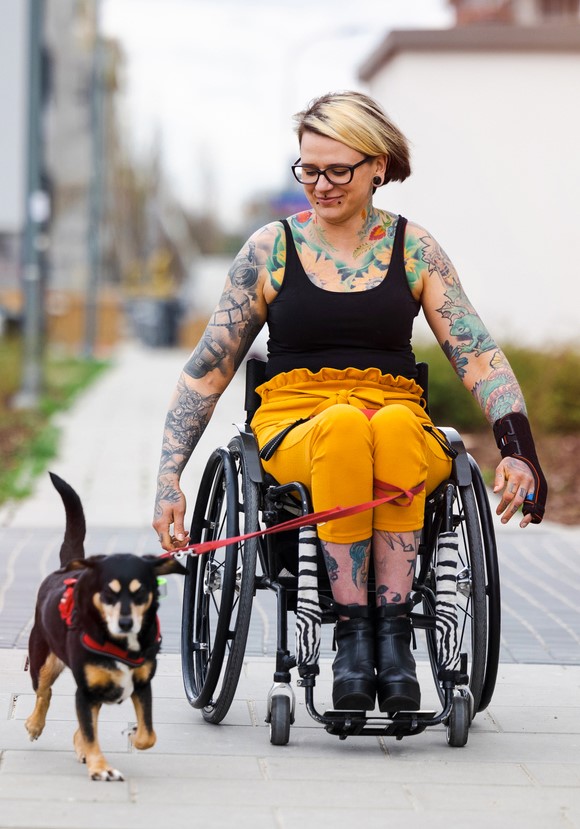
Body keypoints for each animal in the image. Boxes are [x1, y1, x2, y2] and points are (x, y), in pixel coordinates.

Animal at [24, 476, 184, 780]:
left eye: (140, 591)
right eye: (108, 593)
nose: (125, 622)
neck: (121, 643)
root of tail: (68, 567)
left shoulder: (142, 685)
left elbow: (148, 735)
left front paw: (132, 736)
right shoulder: (86, 691)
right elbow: (89, 731)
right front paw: (101, 768)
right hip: (43, 658)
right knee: (43, 692)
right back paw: (35, 724)